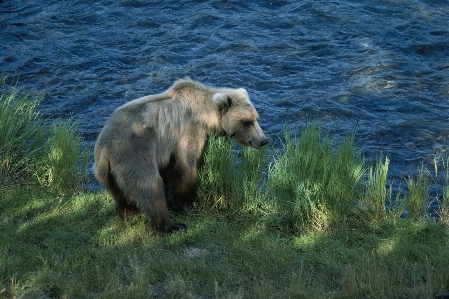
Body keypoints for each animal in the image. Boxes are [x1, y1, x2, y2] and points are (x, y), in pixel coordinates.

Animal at [94, 79, 268, 234]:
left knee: (119, 193)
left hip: (108, 174)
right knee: (150, 185)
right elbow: (186, 165)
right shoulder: (189, 129)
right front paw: (185, 203)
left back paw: (130, 212)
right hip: (133, 151)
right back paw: (170, 227)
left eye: (257, 118)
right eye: (247, 122)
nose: (263, 140)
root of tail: (103, 149)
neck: (207, 114)